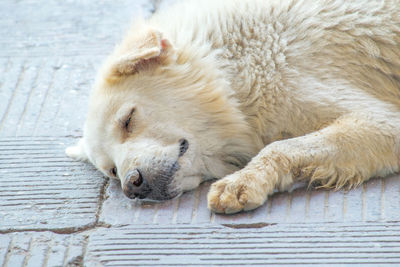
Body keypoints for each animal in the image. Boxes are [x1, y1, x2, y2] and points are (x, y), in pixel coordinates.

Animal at [67, 0, 400, 215]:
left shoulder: (383, 120)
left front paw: (242, 182)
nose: (132, 186)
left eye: (128, 120)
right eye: (112, 171)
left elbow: (279, 146)